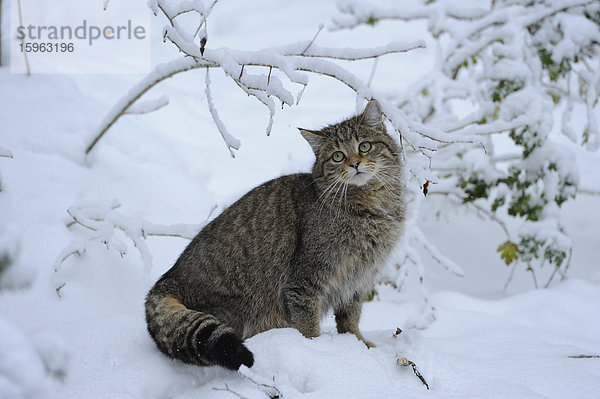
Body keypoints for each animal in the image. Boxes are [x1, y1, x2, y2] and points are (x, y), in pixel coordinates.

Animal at [146, 100, 408, 372]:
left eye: (364, 146)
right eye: (338, 156)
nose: (355, 163)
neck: (372, 207)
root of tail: (166, 280)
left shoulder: (358, 279)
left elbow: (350, 319)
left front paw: (358, 345)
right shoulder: (305, 282)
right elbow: (308, 325)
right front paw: (318, 352)